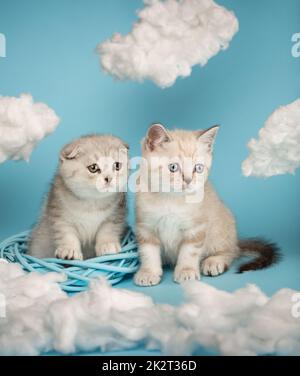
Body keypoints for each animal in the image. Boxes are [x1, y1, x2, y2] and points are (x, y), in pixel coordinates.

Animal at [135, 123, 280, 284]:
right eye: (173, 167)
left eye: (198, 168)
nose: (188, 180)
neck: (171, 199)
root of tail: (236, 240)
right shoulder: (145, 227)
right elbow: (148, 252)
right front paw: (148, 272)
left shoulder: (196, 227)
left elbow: (189, 251)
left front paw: (186, 271)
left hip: (221, 229)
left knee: (232, 252)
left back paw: (214, 261)